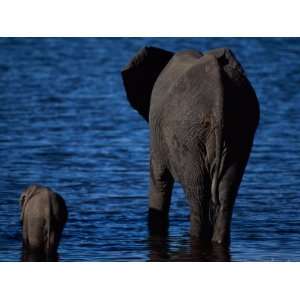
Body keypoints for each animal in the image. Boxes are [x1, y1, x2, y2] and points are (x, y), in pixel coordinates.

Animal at [120, 46, 258, 244]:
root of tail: (218, 93)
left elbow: (159, 177)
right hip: (240, 128)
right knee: (227, 191)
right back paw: (217, 241)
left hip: (188, 136)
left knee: (197, 192)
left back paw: (196, 237)